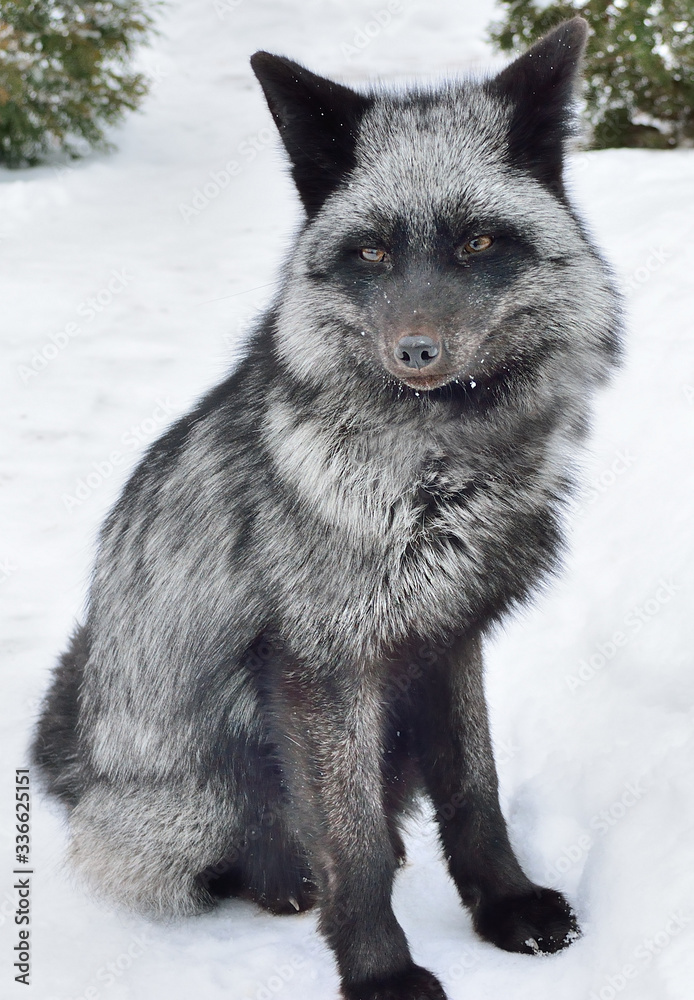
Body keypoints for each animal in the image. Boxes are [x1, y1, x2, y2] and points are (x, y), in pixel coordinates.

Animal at [33, 16, 621, 1000]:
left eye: (477, 244)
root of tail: (84, 767)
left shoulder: (446, 636)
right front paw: (382, 972)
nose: (417, 351)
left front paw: (507, 906)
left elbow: (476, 793)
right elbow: (352, 848)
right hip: (203, 794)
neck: (440, 476)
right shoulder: (322, 663)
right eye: (373, 251)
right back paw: (282, 885)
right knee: (237, 860)